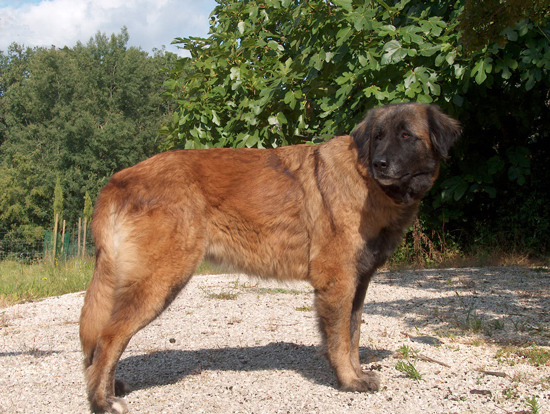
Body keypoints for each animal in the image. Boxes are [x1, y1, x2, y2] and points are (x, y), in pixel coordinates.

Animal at [81, 102, 462, 412]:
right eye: (378, 137)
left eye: (406, 135)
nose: (381, 163)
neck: (366, 179)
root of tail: (119, 179)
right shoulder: (338, 283)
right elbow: (340, 340)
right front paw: (348, 382)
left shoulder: (357, 284)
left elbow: (352, 337)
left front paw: (356, 374)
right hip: (160, 282)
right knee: (109, 338)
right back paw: (102, 402)